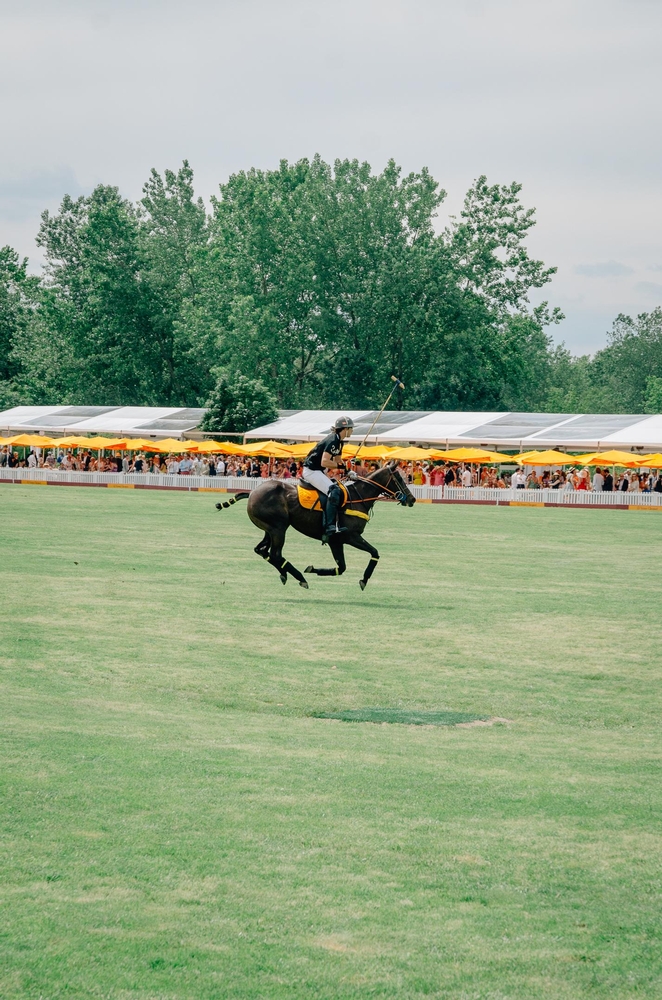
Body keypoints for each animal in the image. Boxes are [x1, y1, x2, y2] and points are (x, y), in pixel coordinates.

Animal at [217, 462, 416, 588]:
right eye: (399, 478)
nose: (412, 499)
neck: (358, 497)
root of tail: (251, 493)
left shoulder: (336, 541)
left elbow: (341, 567)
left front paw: (314, 569)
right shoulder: (350, 536)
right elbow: (374, 552)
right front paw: (364, 580)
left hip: (269, 529)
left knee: (262, 551)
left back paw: (285, 574)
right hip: (278, 528)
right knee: (275, 554)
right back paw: (299, 577)